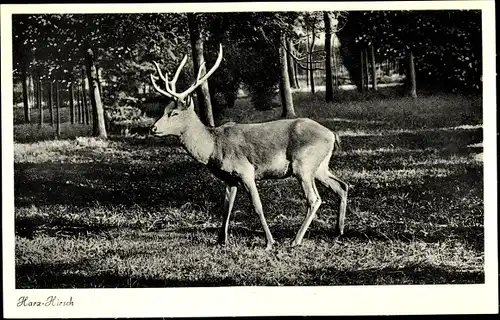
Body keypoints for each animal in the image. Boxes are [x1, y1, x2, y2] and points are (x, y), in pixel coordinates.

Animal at [150, 44, 350, 250]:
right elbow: (226, 207)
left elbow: (257, 206)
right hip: (319, 166)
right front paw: (221, 240)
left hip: (303, 164)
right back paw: (338, 230)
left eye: (174, 113)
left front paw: (269, 241)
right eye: (164, 110)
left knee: (314, 199)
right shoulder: (230, 178)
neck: (213, 147)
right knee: (342, 185)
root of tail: (332, 135)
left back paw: (296, 240)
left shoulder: (245, 170)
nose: (153, 128)